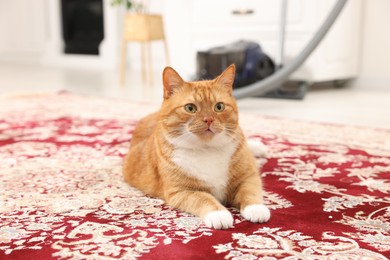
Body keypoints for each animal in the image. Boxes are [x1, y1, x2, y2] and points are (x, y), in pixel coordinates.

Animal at [123, 65, 270, 230]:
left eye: (219, 107)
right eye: (190, 108)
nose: (208, 119)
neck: (207, 150)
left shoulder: (248, 176)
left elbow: (249, 191)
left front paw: (256, 208)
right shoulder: (182, 191)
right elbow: (203, 198)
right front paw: (219, 214)